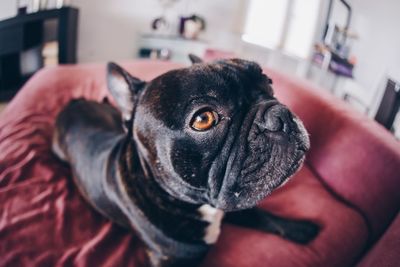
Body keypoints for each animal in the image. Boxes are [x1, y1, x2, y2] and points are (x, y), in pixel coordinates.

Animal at [52, 55, 318, 267]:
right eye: (203, 119)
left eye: (269, 83)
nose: (280, 114)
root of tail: (75, 102)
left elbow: (260, 215)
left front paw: (298, 228)